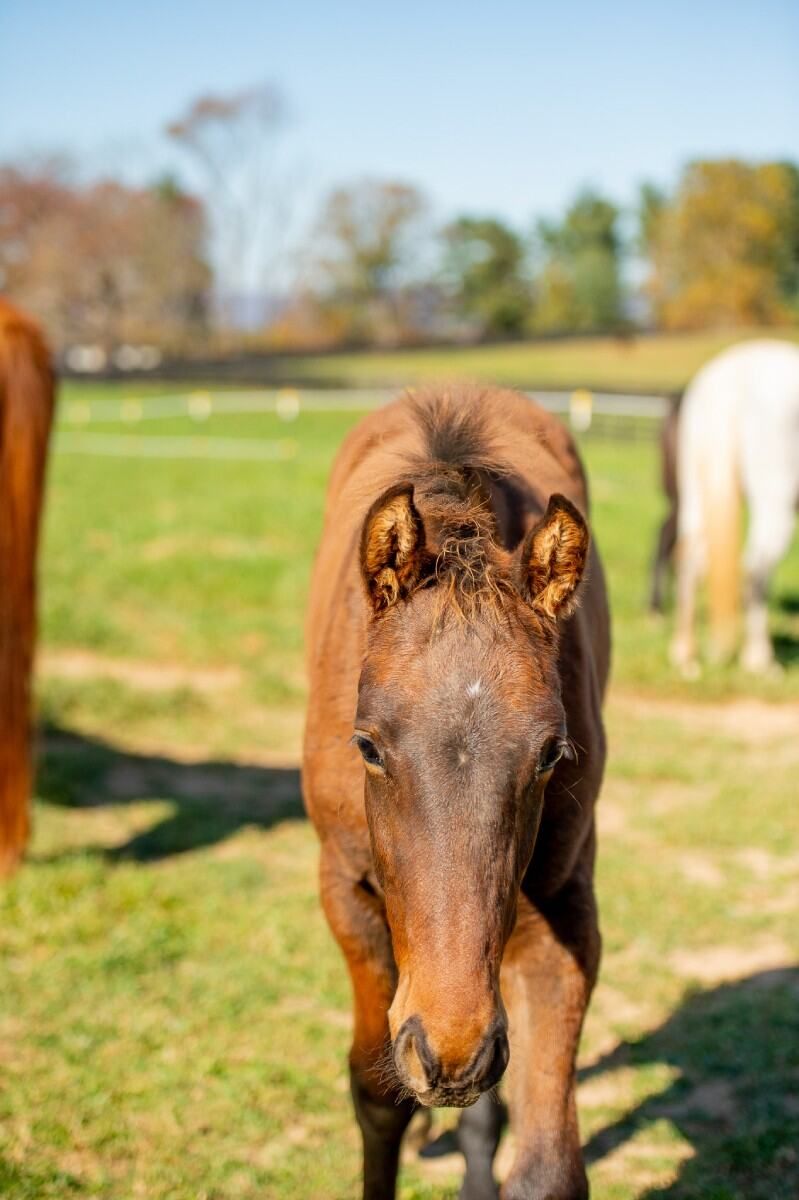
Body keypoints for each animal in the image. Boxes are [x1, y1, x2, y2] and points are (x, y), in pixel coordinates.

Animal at [303, 386, 610, 1200]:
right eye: (367, 746)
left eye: (550, 755)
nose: (448, 1053)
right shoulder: (346, 891)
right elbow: (376, 1092)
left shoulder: (563, 912)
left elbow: (545, 1166)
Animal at [671, 340, 799, 675]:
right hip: (775, 503)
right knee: (755, 568)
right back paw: (759, 659)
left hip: (694, 496)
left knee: (689, 558)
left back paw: (685, 655)